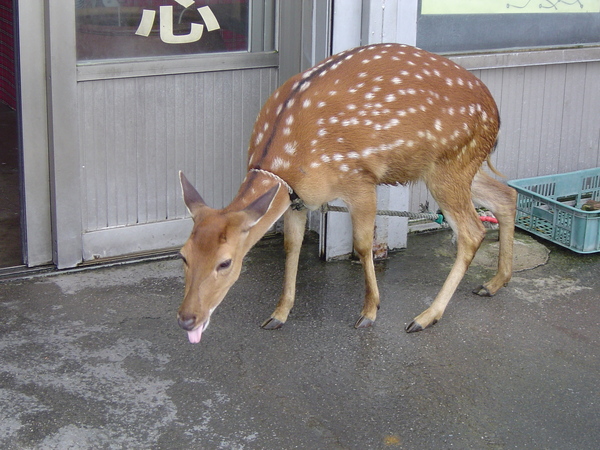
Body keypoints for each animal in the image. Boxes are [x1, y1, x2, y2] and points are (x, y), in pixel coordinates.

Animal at [177, 43, 516, 344]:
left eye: (225, 262)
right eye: (184, 255)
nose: (187, 318)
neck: (288, 165)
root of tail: (496, 114)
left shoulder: (360, 179)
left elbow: (363, 245)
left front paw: (369, 312)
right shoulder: (297, 199)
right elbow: (291, 246)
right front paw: (278, 314)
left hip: (450, 164)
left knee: (472, 231)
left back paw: (425, 317)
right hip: (458, 166)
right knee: (506, 195)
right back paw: (494, 283)